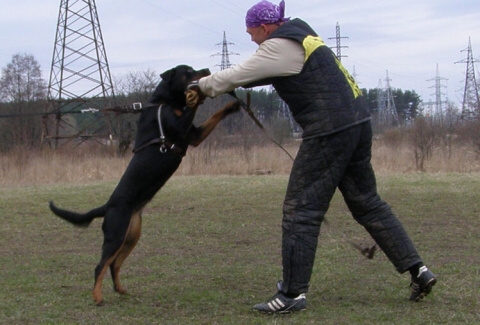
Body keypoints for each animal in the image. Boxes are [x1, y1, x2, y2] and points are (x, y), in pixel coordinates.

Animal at [48, 64, 240, 306]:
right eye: (187, 71)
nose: (206, 69)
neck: (165, 103)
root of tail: (107, 206)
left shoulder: (194, 135)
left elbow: (215, 115)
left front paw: (232, 106)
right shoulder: (180, 127)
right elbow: (192, 107)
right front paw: (197, 95)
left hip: (132, 236)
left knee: (114, 264)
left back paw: (120, 289)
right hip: (115, 235)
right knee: (100, 266)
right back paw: (98, 297)